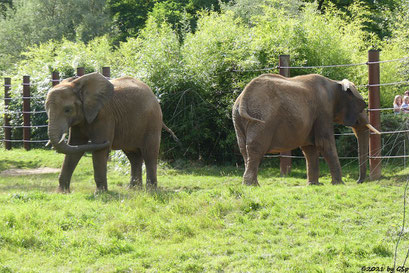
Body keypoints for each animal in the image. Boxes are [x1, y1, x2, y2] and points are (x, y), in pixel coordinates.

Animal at [45, 71, 176, 191]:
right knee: (134, 156)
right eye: (46, 109)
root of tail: (153, 94)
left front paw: (100, 194)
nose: (108, 142)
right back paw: (134, 189)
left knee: (150, 154)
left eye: (67, 110)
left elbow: (99, 151)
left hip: (152, 122)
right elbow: (75, 146)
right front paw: (62, 192)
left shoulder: (104, 115)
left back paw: (150, 190)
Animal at [233, 73, 380, 186]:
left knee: (244, 149)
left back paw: (251, 184)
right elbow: (324, 144)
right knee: (256, 148)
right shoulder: (323, 110)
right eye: (362, 107)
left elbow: (310, 148)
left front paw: (315, 185)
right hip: (262, 119)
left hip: (239, 118)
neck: (335, 84)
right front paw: (339, 184)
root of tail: (244, 96)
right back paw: (252, 185)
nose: (358, 182)